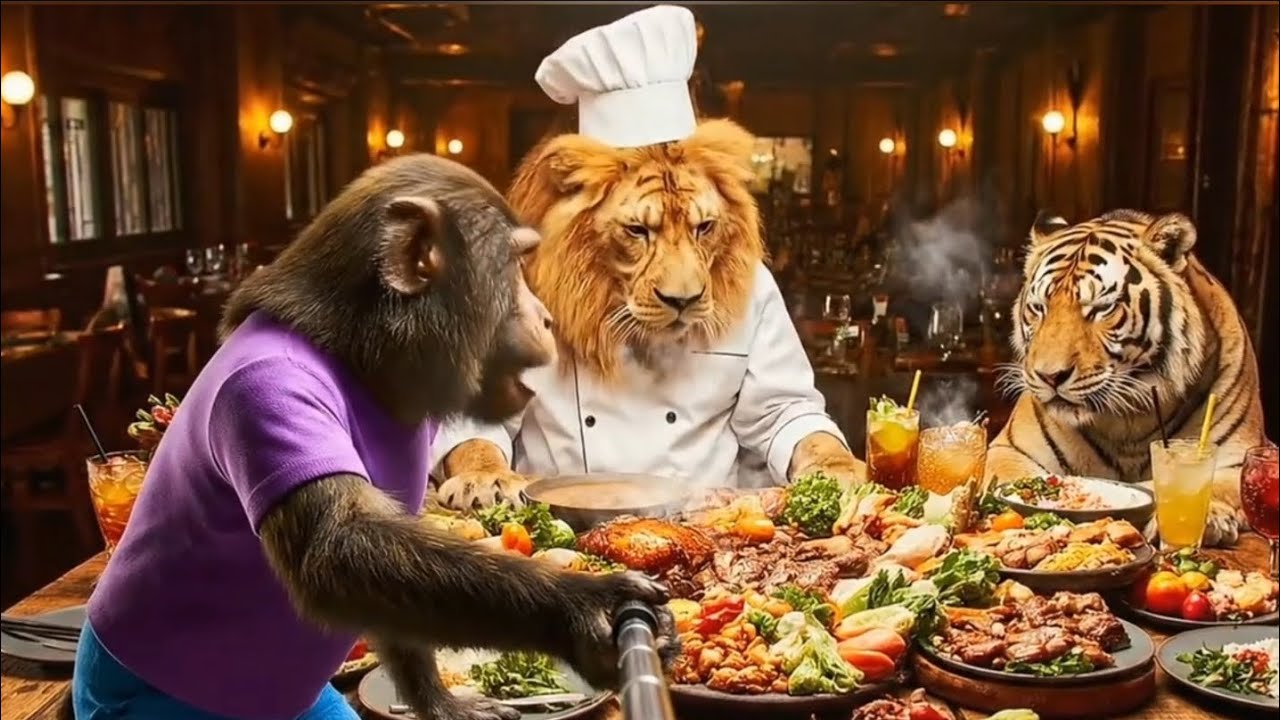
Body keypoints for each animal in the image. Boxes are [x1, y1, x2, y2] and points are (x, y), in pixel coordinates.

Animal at [68, 154, 676, 720]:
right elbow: (343, 548)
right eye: (516, 266)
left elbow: (391, 578)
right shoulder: (266, 391)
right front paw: (584, 609)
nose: (545, 316)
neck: (359, 358)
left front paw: (442, 702)